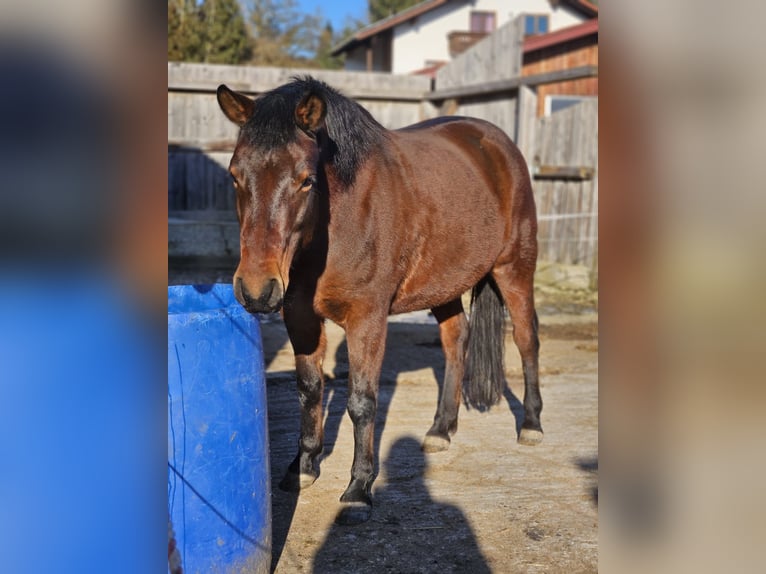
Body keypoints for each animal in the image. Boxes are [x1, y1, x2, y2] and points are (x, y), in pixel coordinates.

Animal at [219, 77, 544, 528]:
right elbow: (309, 390)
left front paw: (359, 487)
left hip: (515, 268)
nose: (255, 290)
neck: (338, 224)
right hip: (443, 285)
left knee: (527, 340)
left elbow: (361, 402)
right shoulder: (299, 316)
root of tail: (497, 144)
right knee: (456, 341)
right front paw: (304, 466)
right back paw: (441, 429)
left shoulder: (367, 318)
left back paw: (530, 424)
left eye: (306, 180)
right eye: (234, 175)